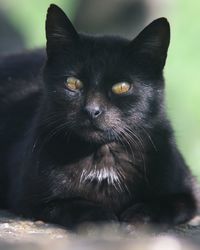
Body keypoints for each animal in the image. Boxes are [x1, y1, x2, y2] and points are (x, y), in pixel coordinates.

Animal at [0, 4, 198, 230]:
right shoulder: (30, 198)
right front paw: (101, 216)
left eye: (122, 87)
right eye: (72, 83)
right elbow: (70, 203)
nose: (91, 110)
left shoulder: (188, 191)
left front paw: (139, 215)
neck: (103, 157)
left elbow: (163, 204)